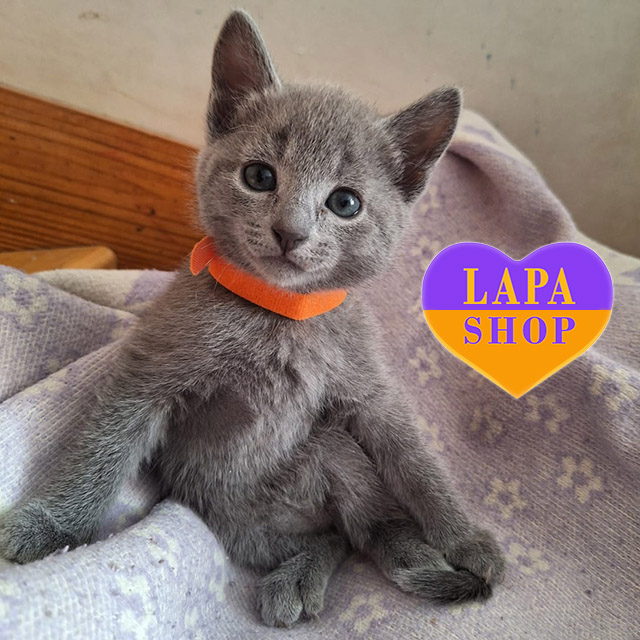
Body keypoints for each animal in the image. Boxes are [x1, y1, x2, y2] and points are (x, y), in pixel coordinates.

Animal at [0, 10, 505, 627]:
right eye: (260, 177)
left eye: (345, 203)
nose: (291, 232)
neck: (278, 313)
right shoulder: (150, 370)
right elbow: (104, 448)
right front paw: (53, 525)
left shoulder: (369, 391)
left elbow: (415, 461)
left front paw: (466, 540)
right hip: (234, 515)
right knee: (333, 538)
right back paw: (300, 577)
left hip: (331, 448)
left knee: (365, 524)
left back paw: (401, 558)